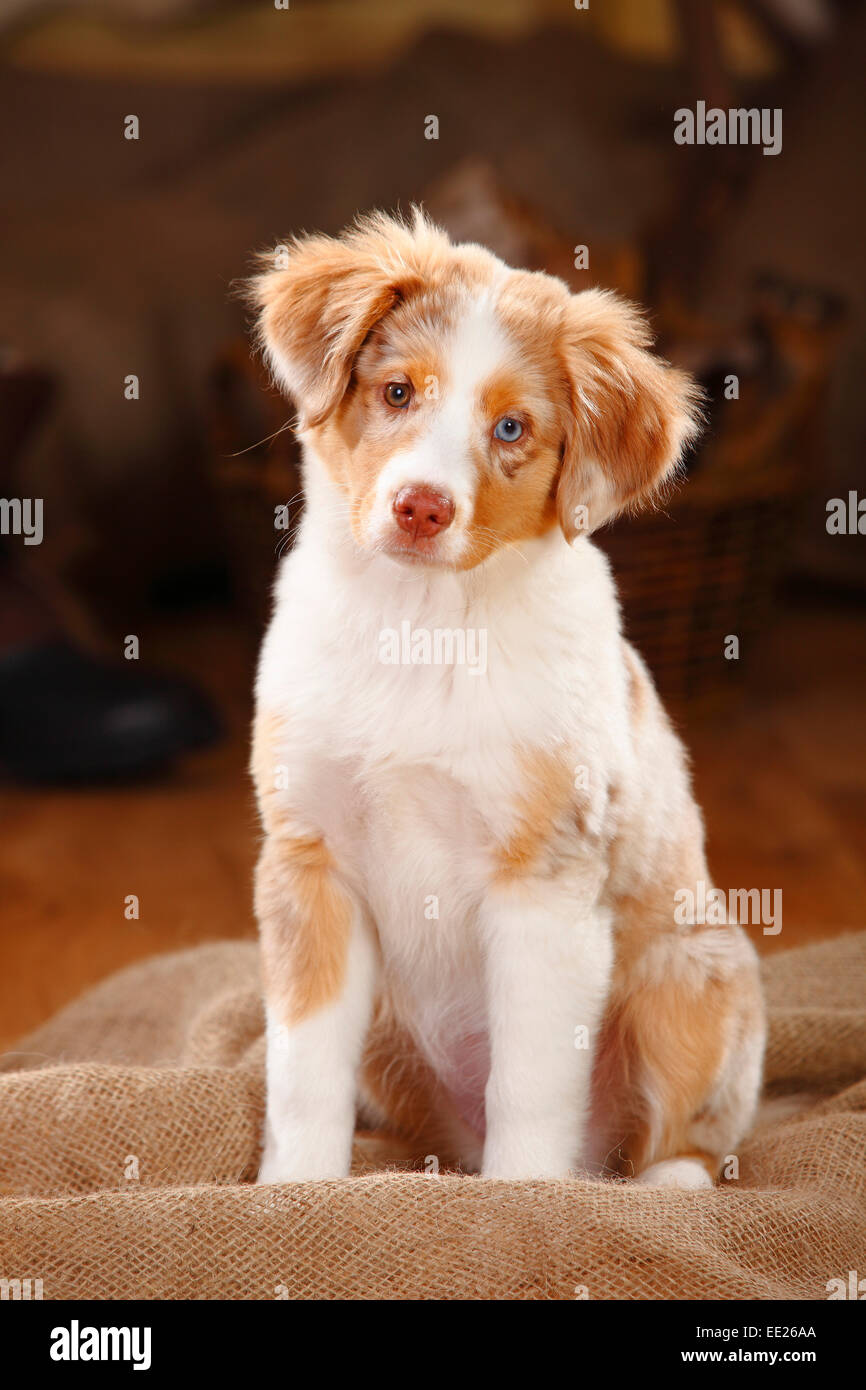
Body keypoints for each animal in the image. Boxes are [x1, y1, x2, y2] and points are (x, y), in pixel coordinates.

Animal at [246, 211, 767, 1189]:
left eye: (513, 427)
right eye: (398, 392)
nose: (421, 508)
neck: (419, 629)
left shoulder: (544, 884)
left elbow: (529, 1085)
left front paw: (521, 1203)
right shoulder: (309, 864)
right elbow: (303, 1068)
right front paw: (295, 1190)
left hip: (692, 976)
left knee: (687, 1137)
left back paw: (664, 1186)